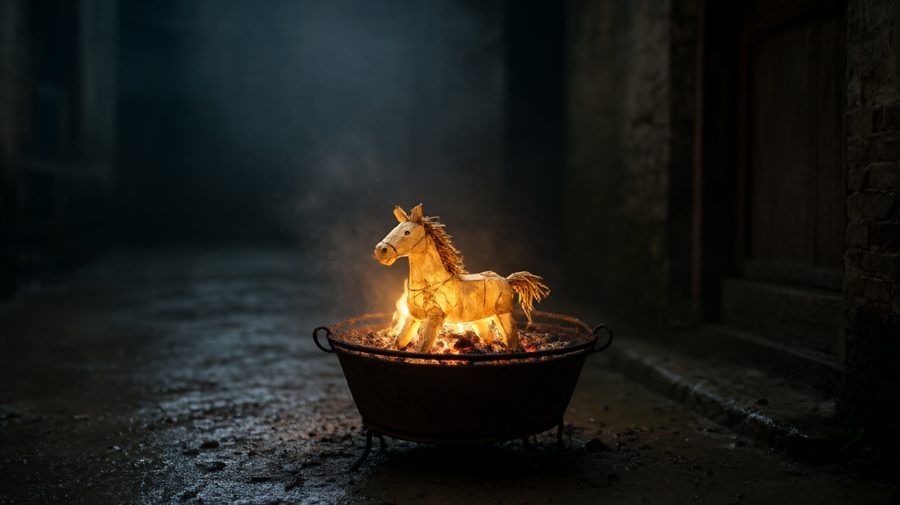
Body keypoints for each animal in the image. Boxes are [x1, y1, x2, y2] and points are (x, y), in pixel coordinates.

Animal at [373, 204, 550, 353]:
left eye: (407, 232)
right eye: (395, 228)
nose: (380, 251)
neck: (430, 283)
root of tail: (507, 280)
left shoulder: (434, 317)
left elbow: (423, 346)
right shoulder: (413, 317)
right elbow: (400, 340)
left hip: (503, 314)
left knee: (511, 338)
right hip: (479, 319)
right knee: (489, 337)